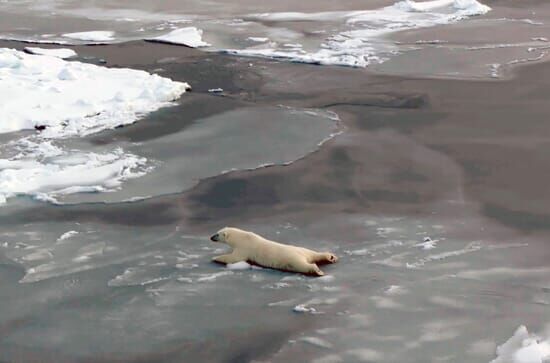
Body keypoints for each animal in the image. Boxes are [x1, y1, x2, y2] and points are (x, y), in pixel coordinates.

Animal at [211, 228, 340, 276]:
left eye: (217, 234)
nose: (211, 237)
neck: (242, 237)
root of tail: (302, 255)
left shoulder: (245, 247)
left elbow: (235, 257)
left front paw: (215, 258)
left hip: (292, 259)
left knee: (303, 265)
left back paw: (318, 271)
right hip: (302, 250)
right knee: (314, 253)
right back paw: (331, 257)